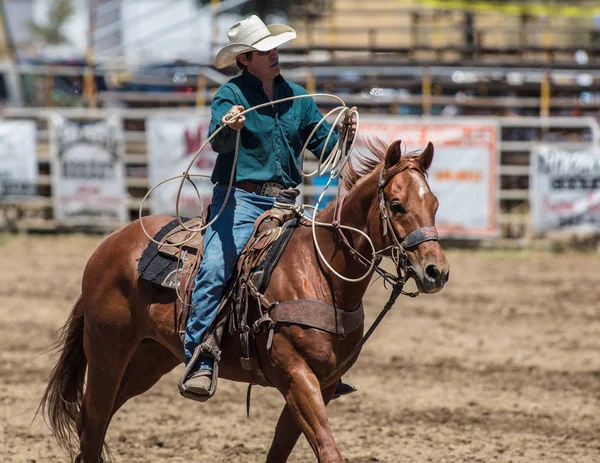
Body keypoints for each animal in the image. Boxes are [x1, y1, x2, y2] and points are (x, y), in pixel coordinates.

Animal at [39, 138, 448, 463]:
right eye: (396, 204)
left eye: (435, 204)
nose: (436, 271)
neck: (320, 273)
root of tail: (108, 245)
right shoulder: (295, 374)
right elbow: (328, 449)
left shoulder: (325, 383)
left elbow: (280, 451)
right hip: (107, 352)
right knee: (92, 426)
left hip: (148, 360)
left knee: (100, 421)